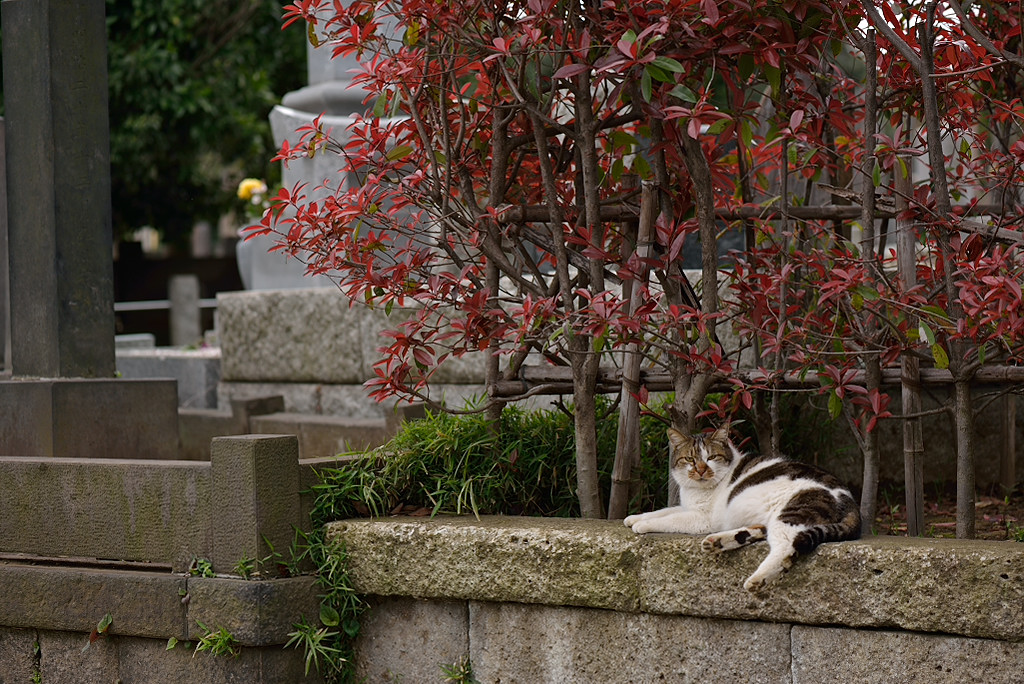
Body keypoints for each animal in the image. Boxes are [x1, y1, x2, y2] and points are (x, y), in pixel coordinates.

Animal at [618, 419, 860, 589]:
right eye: (690, 459)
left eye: (711, 457)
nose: (701, 470)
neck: (698, 490)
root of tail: (849, 499)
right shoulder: (688, 507)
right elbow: (663, 510)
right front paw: (634, 518)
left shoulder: (701, 519)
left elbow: (670, 518)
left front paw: (642, 525)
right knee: (761, 531)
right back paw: (718, 542)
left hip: (791, 514)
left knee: (787, 548)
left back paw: (757, 580)